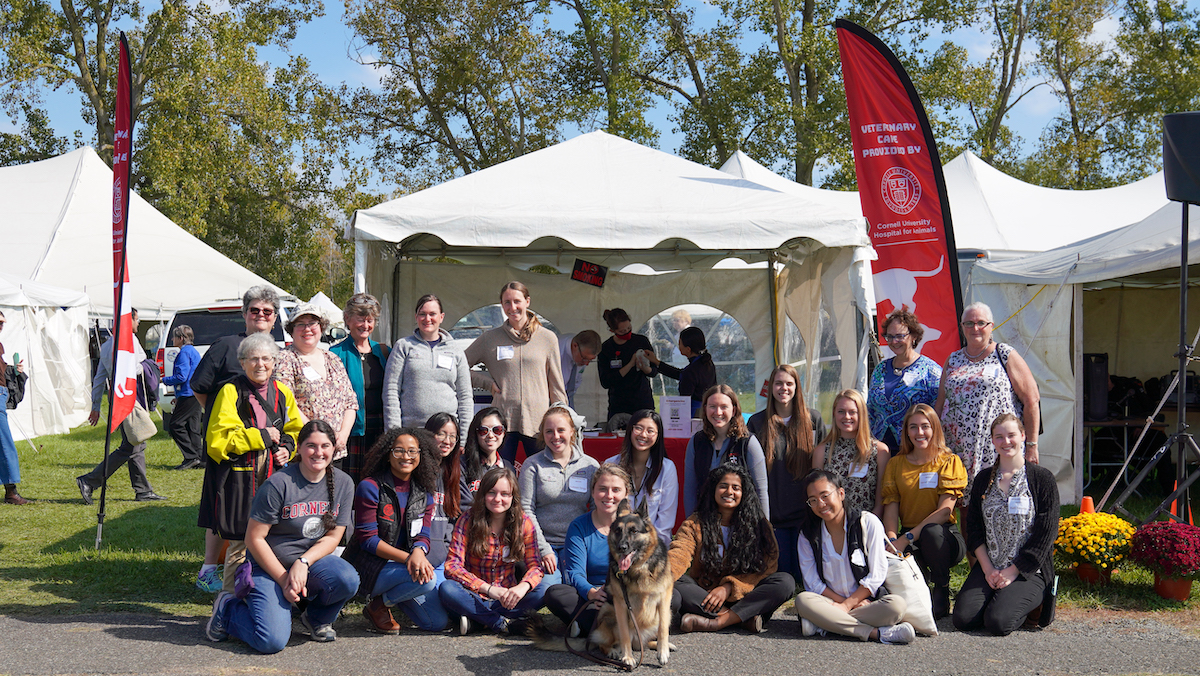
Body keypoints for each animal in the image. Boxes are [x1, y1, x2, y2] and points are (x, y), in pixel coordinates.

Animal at [532, 499, 676, 667]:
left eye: (634, 531)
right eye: (618, 531)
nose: (621, 547)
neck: (639, 568)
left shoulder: (664, 600)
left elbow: (663, 629)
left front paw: (663, 651)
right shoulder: (620, 605)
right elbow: (624, 634)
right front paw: (627, 657)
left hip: (662, 616)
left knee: (644, 642)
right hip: (608, 613)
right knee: (605, 644)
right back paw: (613, 652)